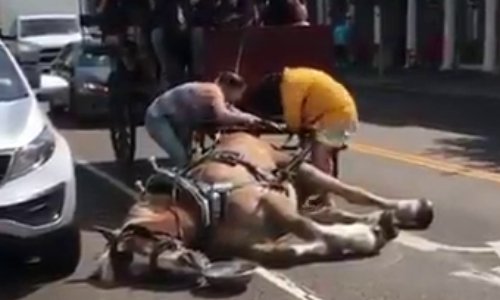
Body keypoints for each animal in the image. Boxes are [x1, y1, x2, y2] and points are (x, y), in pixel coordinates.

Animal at [91, 132, 434, 286]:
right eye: (143, 272)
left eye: (149, 242)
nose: (197, 272)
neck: (203, 204)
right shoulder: (256, 243)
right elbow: (294, 249)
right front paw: (369, 232)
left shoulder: (272, 202)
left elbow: (313, 232)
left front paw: (366, 237)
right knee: (333, 213)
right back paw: (382, 219)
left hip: (304, 170)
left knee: (356, 195)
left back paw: (411, 209)